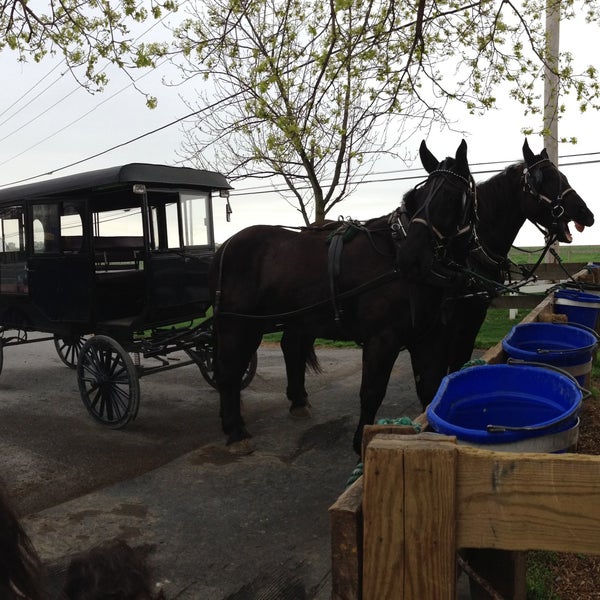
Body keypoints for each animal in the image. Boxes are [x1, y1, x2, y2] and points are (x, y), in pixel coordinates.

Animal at [211, 138, 478, 452]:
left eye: (452, 196)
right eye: (416, 197)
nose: (410, 258)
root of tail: (226, 244)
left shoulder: (428, 338)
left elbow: (431, 391)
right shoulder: (382, 339)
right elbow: (372, 391)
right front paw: (360, 443)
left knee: (281, 351)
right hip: (240, 325)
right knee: (230, 371)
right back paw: (236, 431)